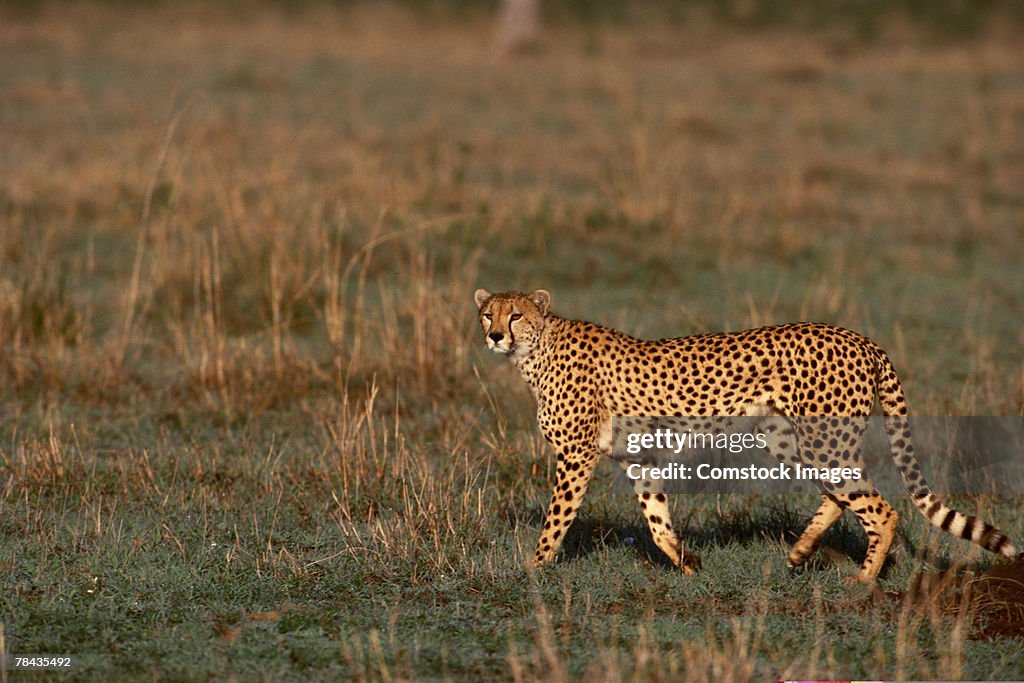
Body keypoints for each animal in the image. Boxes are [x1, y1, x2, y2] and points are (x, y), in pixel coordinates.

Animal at [473, 288, 1015, 581]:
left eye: (516, 314)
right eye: (487, 313)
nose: (495, 335)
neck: (536, 349)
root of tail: (860, 338)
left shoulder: (576, 455)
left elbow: (555, 521)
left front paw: (533, 572)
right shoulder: (638, 456)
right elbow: (657, 520)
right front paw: (688, 564)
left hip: (822, 440)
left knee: (882, 509)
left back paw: (863, 582)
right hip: (795, 440)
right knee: (841, 495)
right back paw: (800, 552)